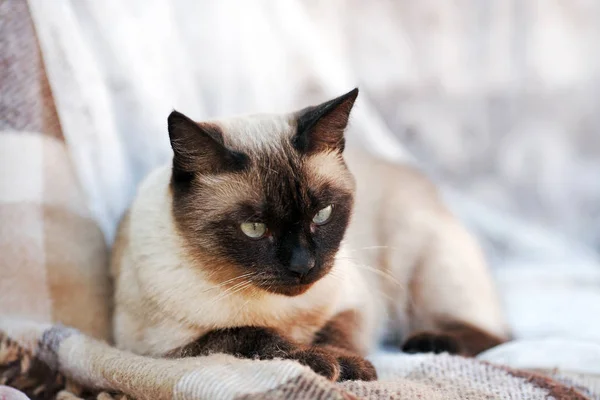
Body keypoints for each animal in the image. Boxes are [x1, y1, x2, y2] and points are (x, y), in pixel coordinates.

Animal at [110, 88, 508, 382]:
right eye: (254, 228)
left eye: (323, 214)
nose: (303, 265)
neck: (282, 311)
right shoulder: (157, 349)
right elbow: (250, 336)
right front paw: (320, 362)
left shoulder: (357, 306)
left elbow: (335, 334)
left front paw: (349, 366)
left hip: (425, 275)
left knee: (494, 334)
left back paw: (427, 343)